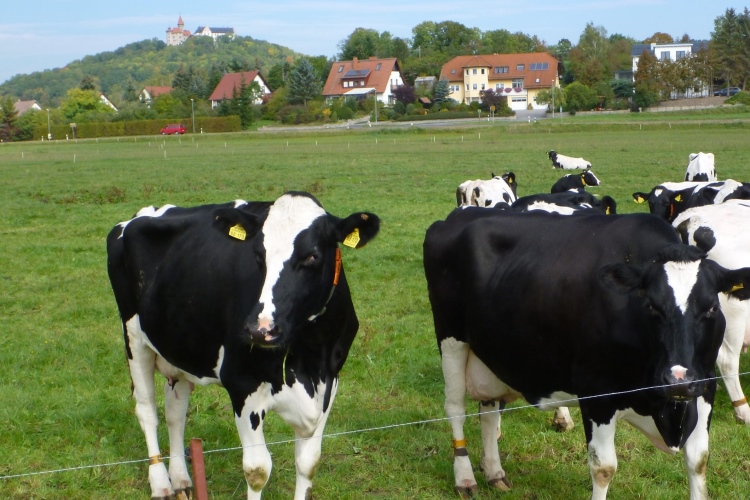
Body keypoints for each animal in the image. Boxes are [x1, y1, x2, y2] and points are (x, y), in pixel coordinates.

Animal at [106, 192, 380, 500]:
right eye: (258, 255)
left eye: (312, 256)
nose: (260, 330)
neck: (308, 353)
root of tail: (145, 212)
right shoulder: (242, 384)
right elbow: (258, 470)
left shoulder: (329, 381)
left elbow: (308, 462)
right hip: (134, 338)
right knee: (147, 411)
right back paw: (161, 483)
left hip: (179, 345)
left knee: (175, 412)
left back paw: (180, 479)